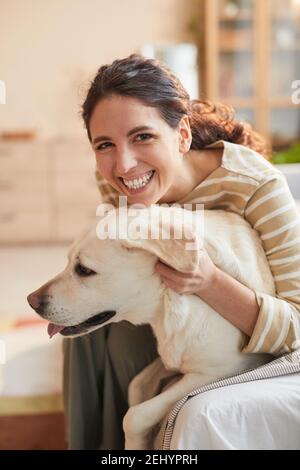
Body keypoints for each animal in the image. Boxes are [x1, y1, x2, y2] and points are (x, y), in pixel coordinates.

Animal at [28, 206, 274, 448]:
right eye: (68, 261)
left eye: (84, 270)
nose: (31, 301)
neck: (167, 305)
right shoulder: (168, 359)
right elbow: (135, 385)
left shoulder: (222, 371)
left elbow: (134, 416)